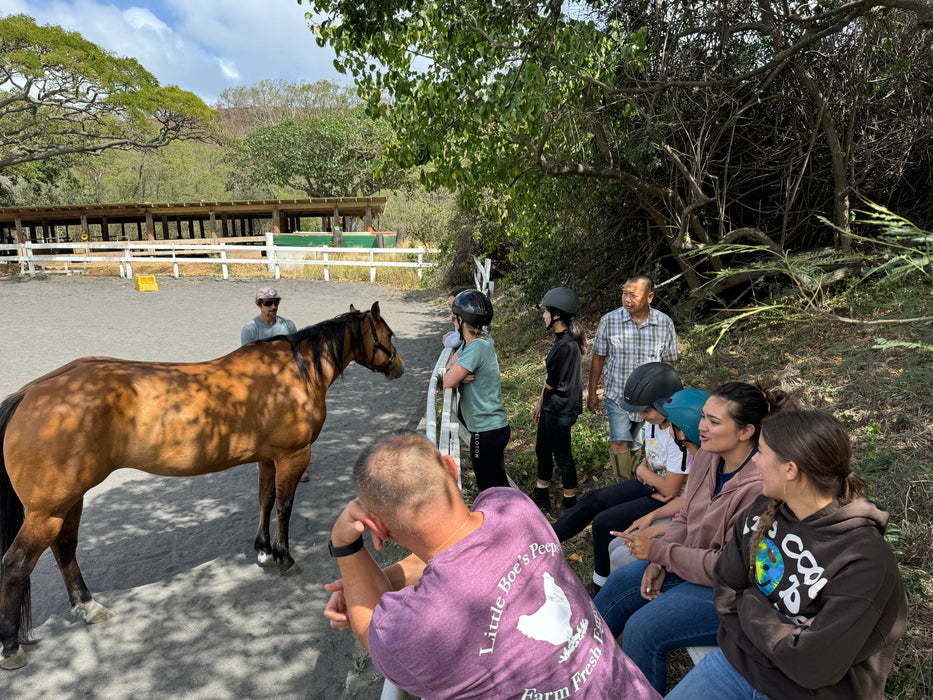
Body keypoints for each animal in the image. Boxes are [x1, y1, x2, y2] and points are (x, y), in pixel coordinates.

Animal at [1, 300, 406, 668]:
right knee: (16, 564)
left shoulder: (267, 459)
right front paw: (284, 556)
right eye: (388, 334)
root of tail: (30, 393)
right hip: (47, 512)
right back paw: (11, 647)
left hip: (69, 502)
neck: (293, 373)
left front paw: (263, 550)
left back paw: (87, 606)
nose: (399, 367)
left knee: (65, 548)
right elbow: (284, 507)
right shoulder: (292, 457)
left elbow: (264, 500)